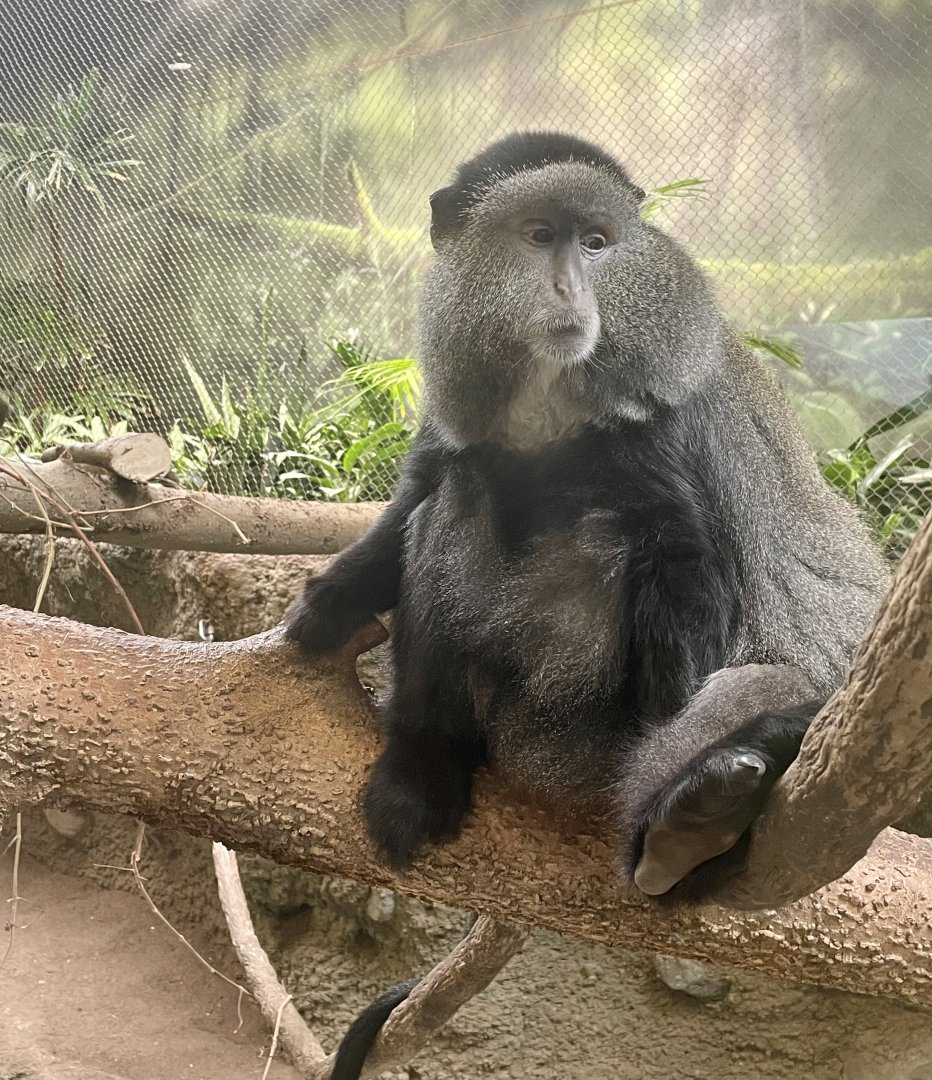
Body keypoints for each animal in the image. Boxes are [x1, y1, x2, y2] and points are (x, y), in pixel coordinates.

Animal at [286, 130, 889, 1075]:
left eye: (599, 244)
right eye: (539, 238)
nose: (573, 289)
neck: (550, 416)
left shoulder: (667, 438)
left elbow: (688, 563)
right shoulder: (456, 415)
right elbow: (421, 490)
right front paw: (330, 604)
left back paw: (698, 822)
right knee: (453, 507)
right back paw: (425, 762)